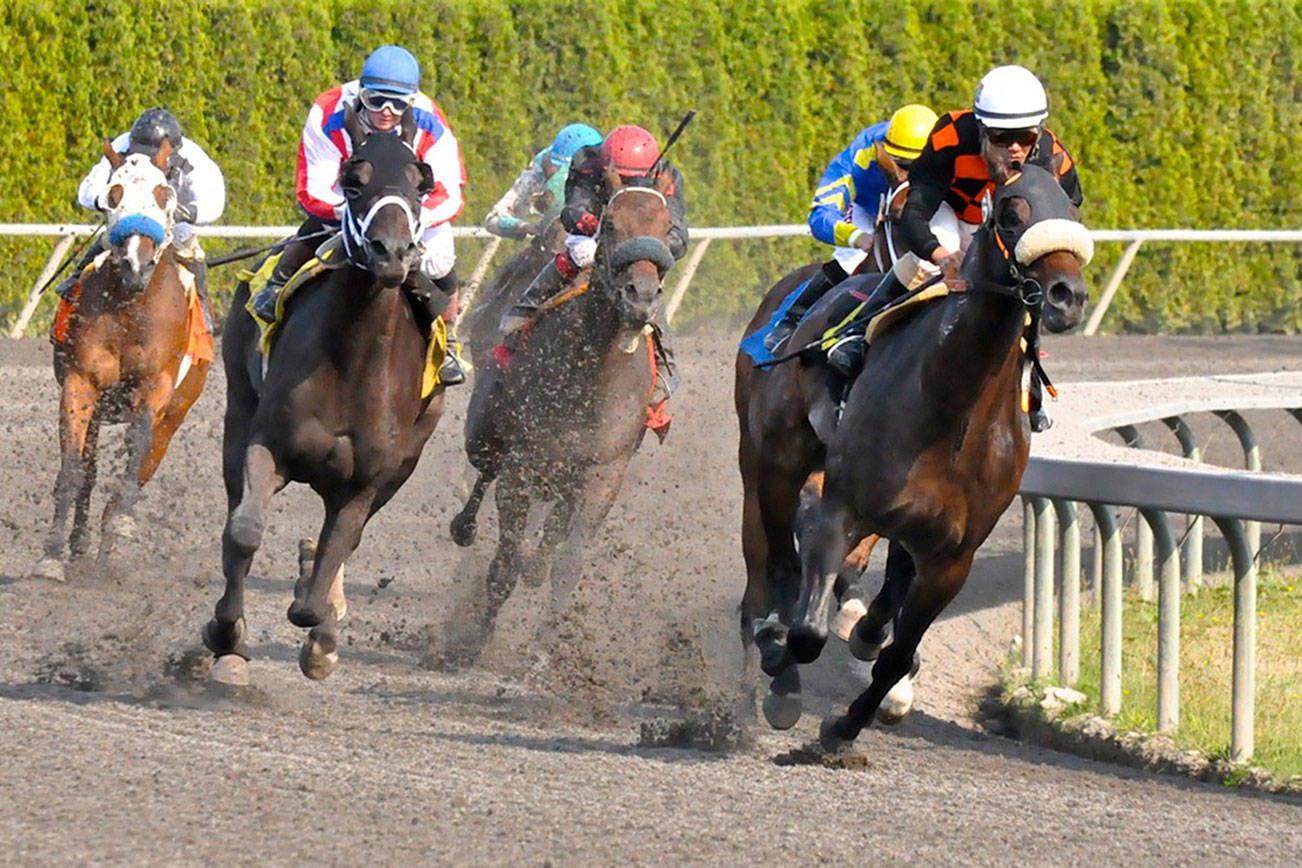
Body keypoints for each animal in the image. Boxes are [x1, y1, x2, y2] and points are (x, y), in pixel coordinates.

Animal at [33, 139, 208, 580]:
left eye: (165, 194)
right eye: (113, 194)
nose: (135, 263)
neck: (130, 307)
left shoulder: (155, 389)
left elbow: (133, 462)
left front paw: (115, 536)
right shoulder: (80, 385)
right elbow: (74, 468)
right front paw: (52, 554)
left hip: (176, 412)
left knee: (144, 463)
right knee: (91, 470)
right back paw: (80, 545)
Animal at [201, 108, 447, 681]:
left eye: (421, 184)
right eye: (353, 182)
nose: (392, 252)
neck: (352, 363)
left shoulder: (366, 481)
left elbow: (330, 567)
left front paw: (322, 639)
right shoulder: (266, 444)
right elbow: (244, 532)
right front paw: (227, 634)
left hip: (404, 466)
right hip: (237, 413)